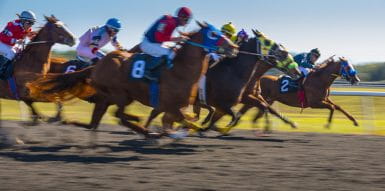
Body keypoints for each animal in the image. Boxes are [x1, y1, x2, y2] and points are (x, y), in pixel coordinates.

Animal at [27, 21, 237, 138]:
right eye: (213, 34)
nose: (233, 47)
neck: (181, 70)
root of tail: (99, 64)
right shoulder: (170, 105)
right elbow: (185, 120)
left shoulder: (177, 105)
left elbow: (186, 118)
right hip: (118, 94)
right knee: (118, 116)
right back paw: (143, 129)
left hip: (115, 97)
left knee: (98, 121)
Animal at [231, 56, 360, 131]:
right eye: (348, 67)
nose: (356, 79)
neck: (320, 79)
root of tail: (258, 78)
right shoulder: (314, 103)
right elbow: (332, 107)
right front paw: (327, 125)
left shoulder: (325, 99)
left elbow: (338, 106)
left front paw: (354, 121)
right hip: (260, 98)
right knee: (250, 110)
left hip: (267, 100)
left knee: (256, 113)